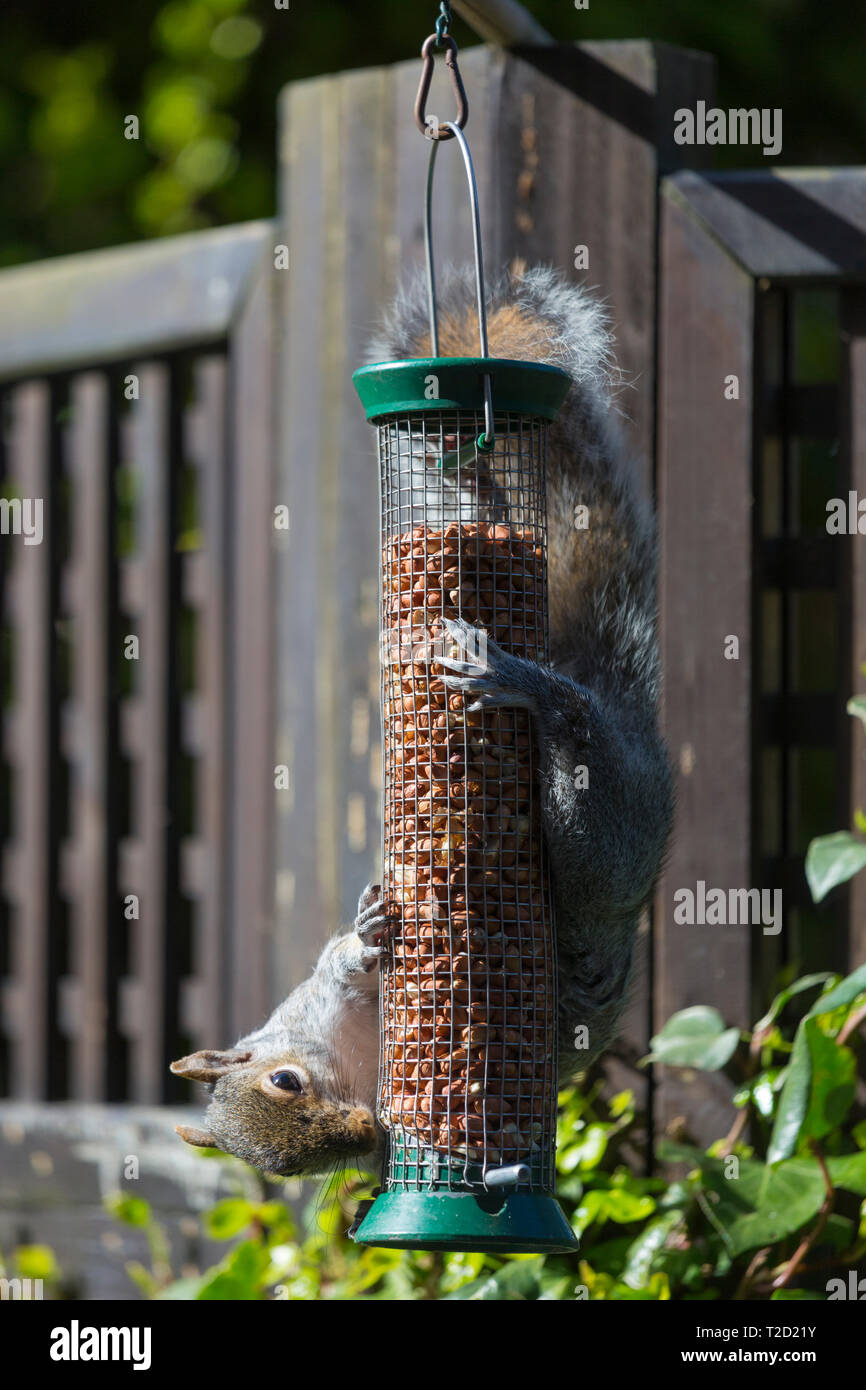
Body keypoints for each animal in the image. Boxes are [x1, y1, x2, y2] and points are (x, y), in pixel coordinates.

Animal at [170, 263, 674, 1178]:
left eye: (285, 1082)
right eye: (293, 1168)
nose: (363, 1135)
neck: (355, 1050)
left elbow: (343, 961)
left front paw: (373, 930)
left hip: (600, 845)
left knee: (576, 737)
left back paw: (517, 669)